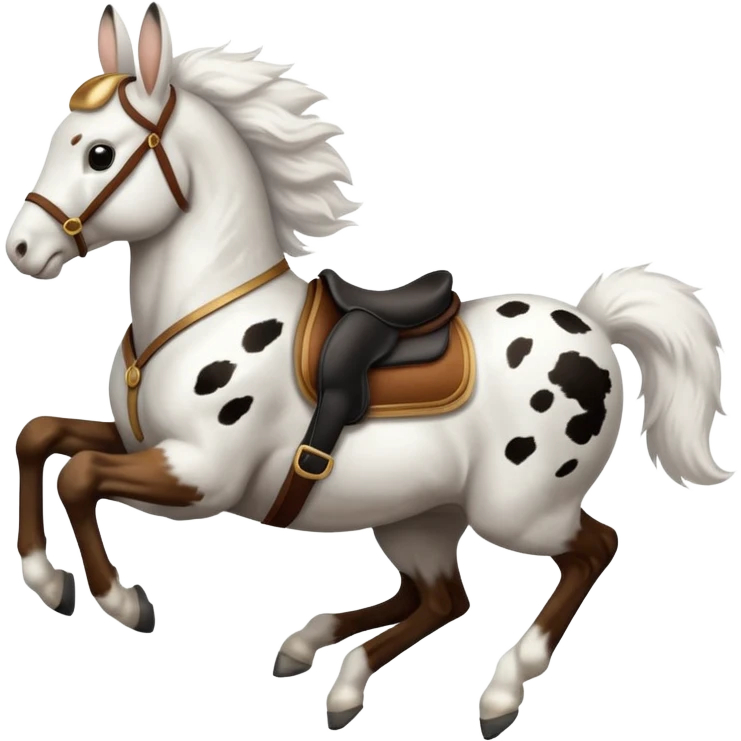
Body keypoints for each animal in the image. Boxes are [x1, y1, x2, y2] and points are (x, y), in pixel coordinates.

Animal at [4, 3, 733, 738]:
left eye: (98, 153)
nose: (22, 248)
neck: (202, 313)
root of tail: (595, 325)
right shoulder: (141, 444)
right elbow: (40, 438)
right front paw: (47, 578)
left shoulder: (200, 474)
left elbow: (79, 476)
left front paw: (119, 601)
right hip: (418, 514)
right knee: (441, 597)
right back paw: (327, 663)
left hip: (519, 511)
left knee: (591, 548)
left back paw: (497, 692)